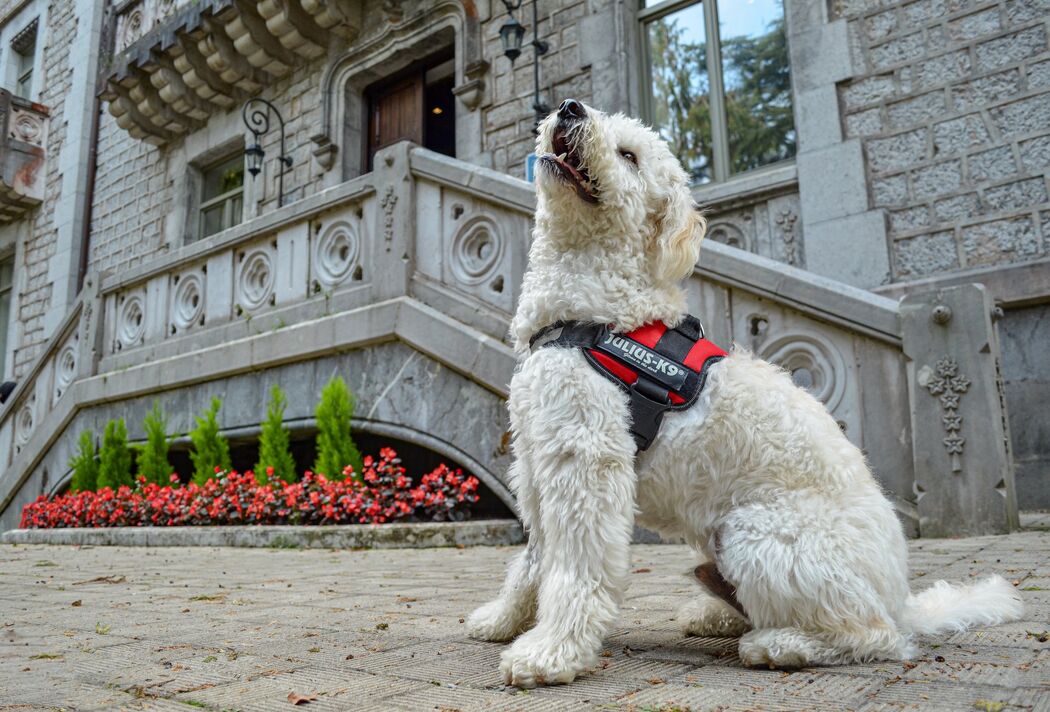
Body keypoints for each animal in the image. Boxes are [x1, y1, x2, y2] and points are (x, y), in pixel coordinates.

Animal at [466, 97, 1016, 688]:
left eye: (629, 155)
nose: (569, 107)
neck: (595, 317)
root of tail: (901, 600)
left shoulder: (585, 464)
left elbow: (574, 568)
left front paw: (551, 653)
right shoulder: (536, 462)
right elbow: (532, 561)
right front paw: (503, 620)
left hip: (757, 533)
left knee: (874, 637)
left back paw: (781, 644)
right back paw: (717, 615)